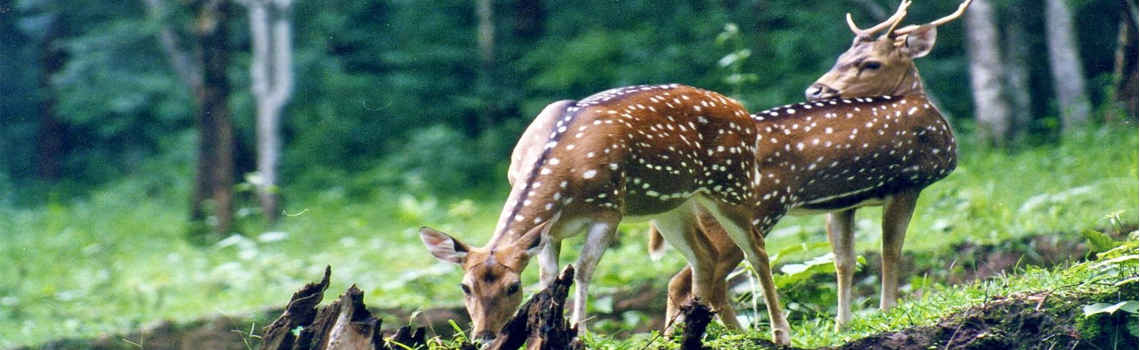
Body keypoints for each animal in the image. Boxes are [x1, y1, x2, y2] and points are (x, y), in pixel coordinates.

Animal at [421, 84, 793, 346]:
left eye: (513, 287)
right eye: (465, 286)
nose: (483, 335)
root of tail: (744, 113)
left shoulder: (609, 211)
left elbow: (584, 271)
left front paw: (580, 331)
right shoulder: (550, 231)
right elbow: (550, 278)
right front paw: (541, 333)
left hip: (733, 186)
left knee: (757, 251)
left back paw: (779, 333)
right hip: (673, 205)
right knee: (706, 255)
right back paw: (686, 333)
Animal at [656, 0, 966, 332]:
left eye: (871, 63)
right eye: (843, 57)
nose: (815, 90)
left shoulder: (842, 203)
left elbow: (844, 260)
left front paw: (843, 324)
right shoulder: (908, 182)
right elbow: (890, 250)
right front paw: (888, 310)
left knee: (692, 278)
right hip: (755, 210)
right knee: (697, 278)